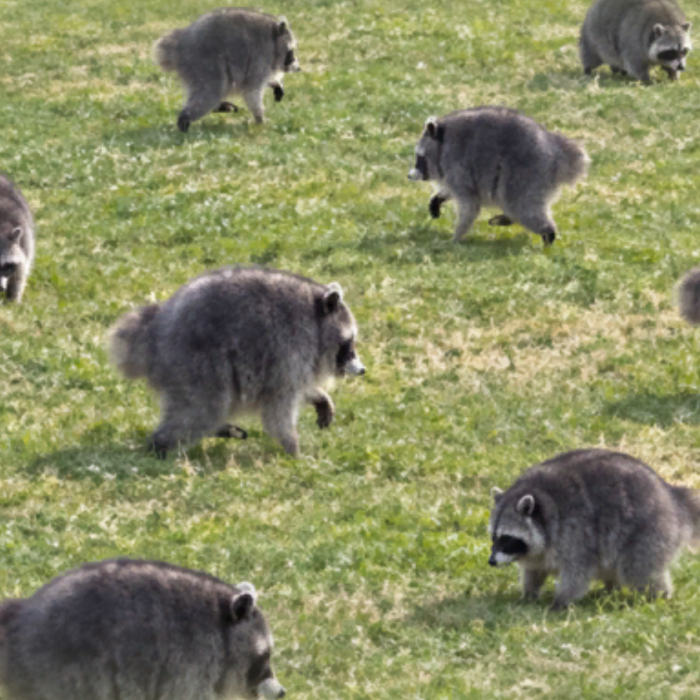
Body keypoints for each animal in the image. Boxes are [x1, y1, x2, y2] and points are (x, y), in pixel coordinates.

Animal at [109, 266, 365, 458]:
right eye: (348, 343)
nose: (362, 370)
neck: (314, 316)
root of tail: (154, 331)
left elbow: (299, 388)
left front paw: (319, 395)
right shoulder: (289, 349)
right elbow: (279, 407)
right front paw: (293, 448)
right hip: (195, 363)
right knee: (201, 410)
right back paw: (160, 445)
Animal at [154, 8, 301, 132]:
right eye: (291, 51)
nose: (298, 68)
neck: (273, 38)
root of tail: (179, 44)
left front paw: (276, 83)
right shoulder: (261, 55)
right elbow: (251, 89)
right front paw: (260, 117)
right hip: (204, 62)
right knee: (211, 91)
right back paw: (185, 118)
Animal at [408, 108, 589, 246]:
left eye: (420, 158)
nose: (409, 176)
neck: (443, 143)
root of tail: (556, 152)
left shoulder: (458, 166)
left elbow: (469, 205)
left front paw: (457, 236)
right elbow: (451, 192)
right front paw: (438, 198)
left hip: (526, 175)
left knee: (524, 208)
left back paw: (547, 234)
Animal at [489, 448, 700, 610]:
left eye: (507, 538)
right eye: (494, 537)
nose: (491, 562)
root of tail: (673, 497)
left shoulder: (575, 531)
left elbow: (576, 572)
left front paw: (562, 601)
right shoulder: (538, 550)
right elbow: (535, 569)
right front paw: (529, 593)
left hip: (649, 529)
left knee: (639, 569)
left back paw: (660, 596)